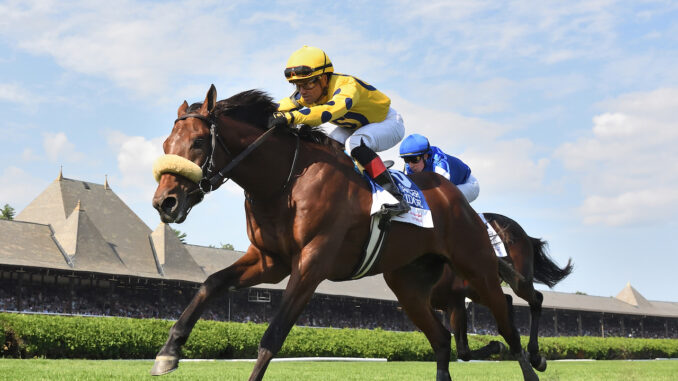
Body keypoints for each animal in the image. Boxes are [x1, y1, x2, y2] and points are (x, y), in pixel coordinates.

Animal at [150, 85, 540, 380]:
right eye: (167, 144)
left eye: (199, 142)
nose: (164, 202)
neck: (286, 180)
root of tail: (458, 200)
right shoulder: (269, 260)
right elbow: (211, 283)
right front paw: (169, 351)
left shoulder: (311, 263)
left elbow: (273, 335)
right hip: (408, 284)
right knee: (442, 339)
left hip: (477, 269)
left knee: (511, 325)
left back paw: (533, 359)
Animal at [432, 214, 572, 372]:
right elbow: (461, 350)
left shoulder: (455, 301)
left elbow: (463, 351)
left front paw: (497, 345)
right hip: (482, 289)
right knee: (508, 300)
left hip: (519, 282)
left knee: (536, 299)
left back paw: (535, 356)